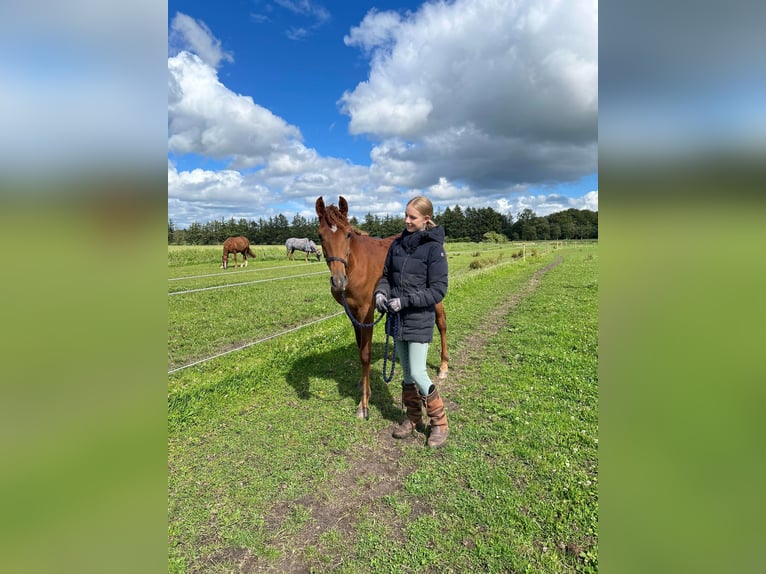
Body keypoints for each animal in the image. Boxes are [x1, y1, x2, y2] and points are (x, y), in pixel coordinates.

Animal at [316, 196, 450, 420]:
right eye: (320, 235)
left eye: (348, 233)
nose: (338, 281)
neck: (355, 265)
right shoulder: (352, 313)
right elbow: (359, 347)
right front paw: (363, 384)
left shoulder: (366, 312)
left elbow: (365, 354)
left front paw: (363, 404)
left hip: (436, 298)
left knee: (441, 324)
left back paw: (443, 367)